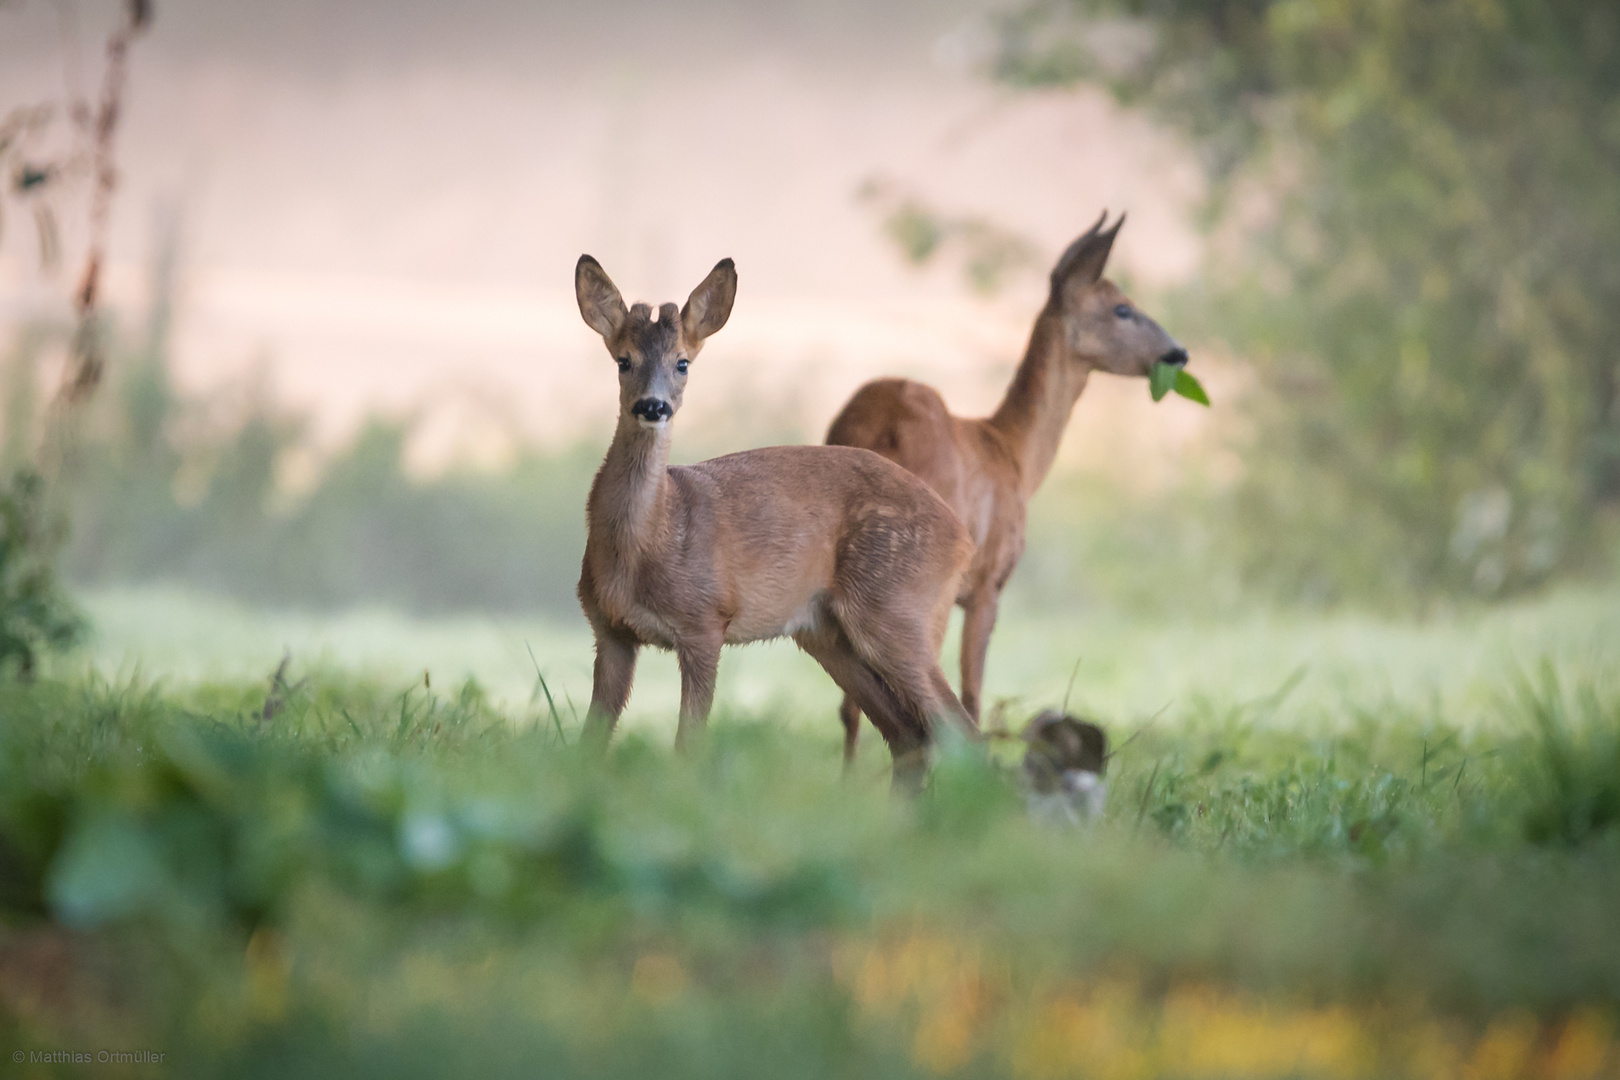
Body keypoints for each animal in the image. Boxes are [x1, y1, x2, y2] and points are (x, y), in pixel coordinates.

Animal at [570, 257, 972, 790]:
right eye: (623, 360)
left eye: (683, 362)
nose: (652, 406)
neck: (652, 540)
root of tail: (964, 539)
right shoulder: (609, 630)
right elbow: (590, 743)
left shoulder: (705, 621)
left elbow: (688, 744)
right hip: (828, 635)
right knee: (910, 734)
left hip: (899, 608)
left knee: (960, 730)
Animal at [829, 210, 1185, 764]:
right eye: (1122, 307)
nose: (1178, 353)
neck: (1012, 451)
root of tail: (880, 432)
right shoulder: (988, 584)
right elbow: (973, 694)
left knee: (853, 702)